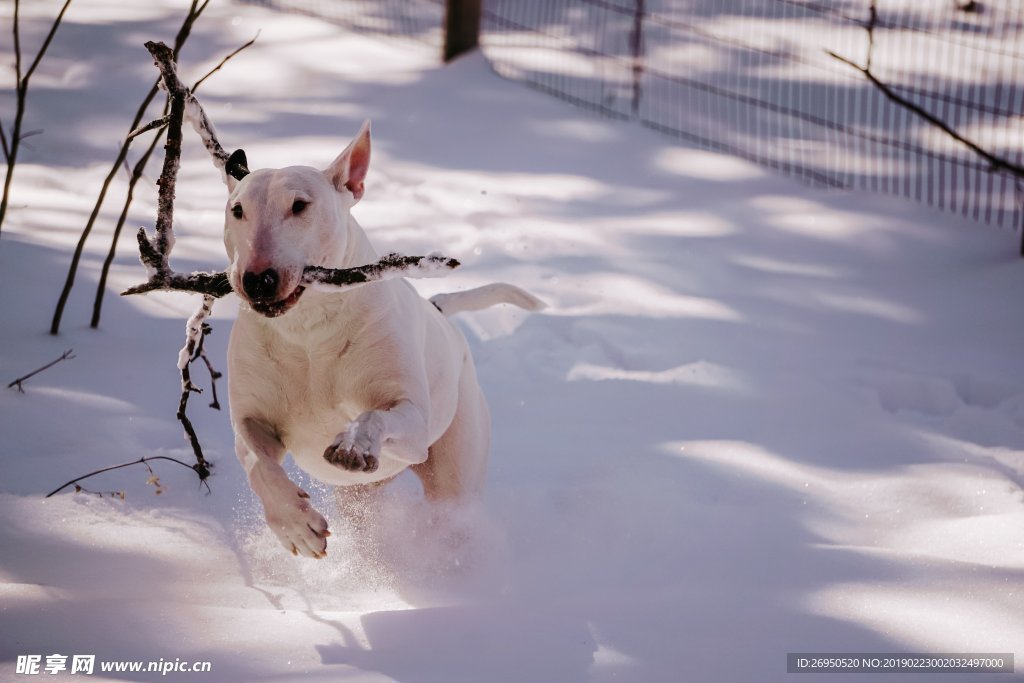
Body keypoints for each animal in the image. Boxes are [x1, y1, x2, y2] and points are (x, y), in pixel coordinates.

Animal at [224, 124, 544, 561]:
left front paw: (354, 443)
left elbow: (375, 415)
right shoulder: (250, 418)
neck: (308, 330)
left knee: (453, 509)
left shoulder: (411, 421)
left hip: (455, 465)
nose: (257, 280)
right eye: (237, 210)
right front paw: (296, 527)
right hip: (360, 499)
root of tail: (437, 307)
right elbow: (258, 462)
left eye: (300, 205)